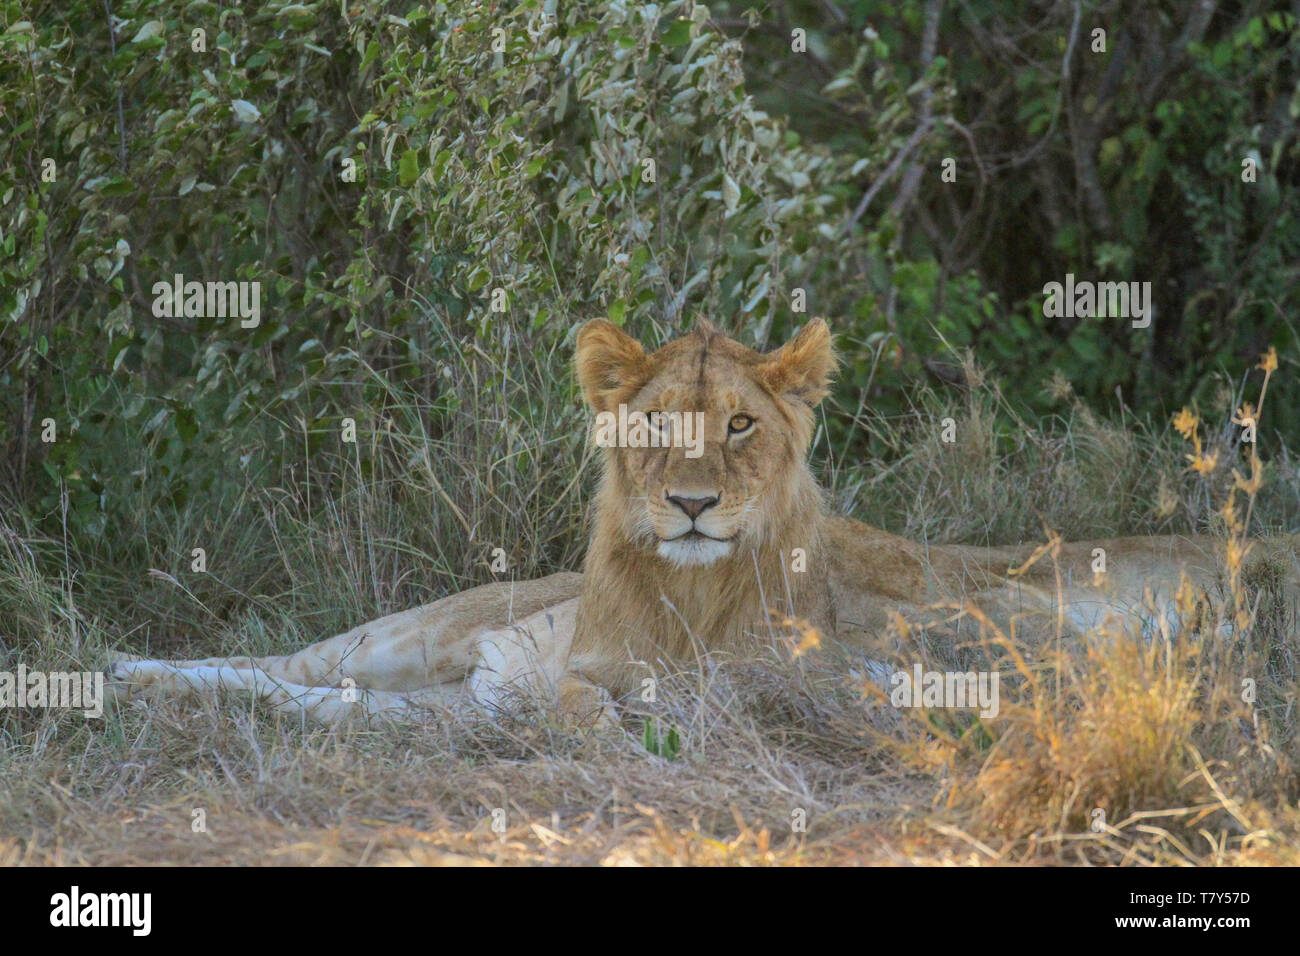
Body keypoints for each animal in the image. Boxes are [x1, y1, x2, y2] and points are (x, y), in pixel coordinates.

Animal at [109, 318, 1296, 726]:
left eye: (738, 425)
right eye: (658, 424)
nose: (688, 502)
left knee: (306, 691)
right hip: (408, 636)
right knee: (279, 664)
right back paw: (112, 671)